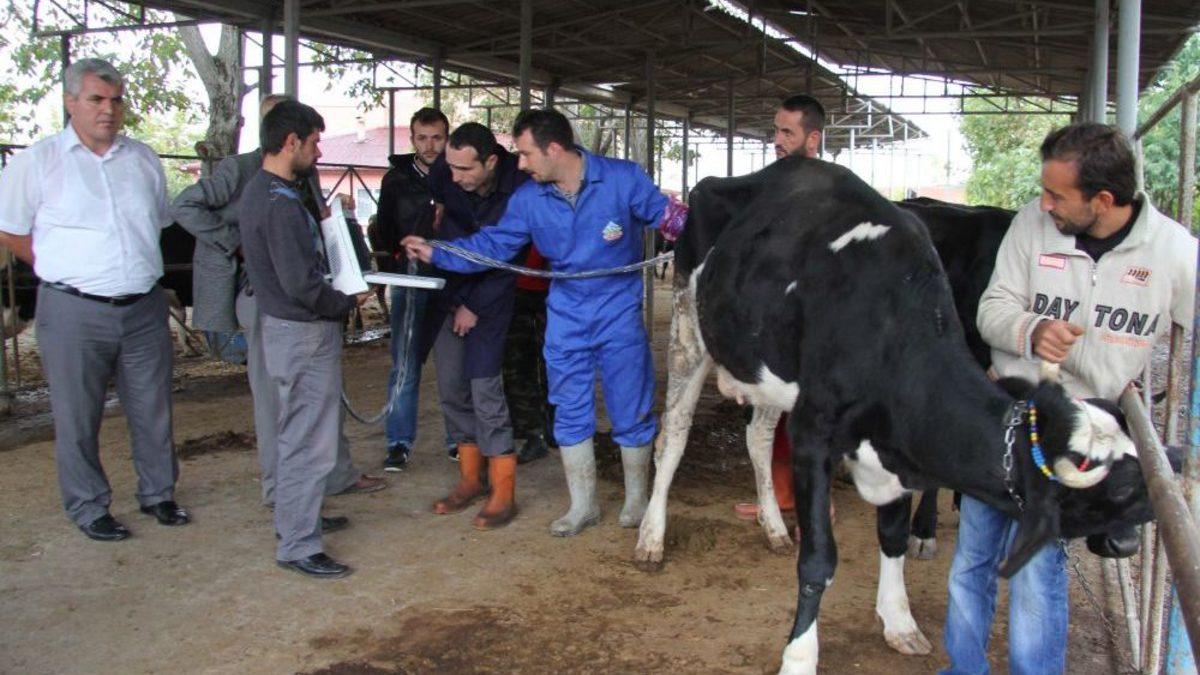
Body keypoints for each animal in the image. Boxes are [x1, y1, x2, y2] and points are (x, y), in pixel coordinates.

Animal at [633, 156, 1173, 674]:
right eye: (1116, 492)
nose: (1127, 545)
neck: (889, 327)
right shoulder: (813, 434)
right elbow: (818, 560)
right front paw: (799, 657)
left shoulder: (895, 445)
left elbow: (891, 536)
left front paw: (899, 621)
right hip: (688, 326)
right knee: (674, 435)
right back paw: (651, 536)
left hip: (769, 373)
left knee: (759, 440)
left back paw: (773, 526)